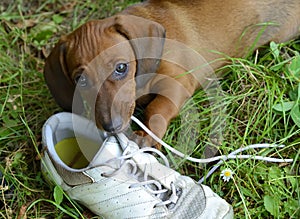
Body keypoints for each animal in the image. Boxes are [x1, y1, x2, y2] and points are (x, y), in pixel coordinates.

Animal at [45, 0, 300, 147]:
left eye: (121, 68)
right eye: (81, 80)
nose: (111, 127)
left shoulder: (179, 82)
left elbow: (157, 108)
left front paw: (149, 136)